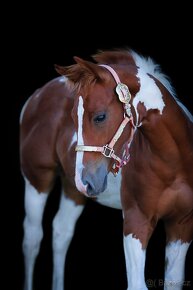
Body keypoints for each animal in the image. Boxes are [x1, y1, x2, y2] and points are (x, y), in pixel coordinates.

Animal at [56, 48, 193, 288]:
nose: (85, 181)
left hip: (72, 192)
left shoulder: (182, 225)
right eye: (73, 117)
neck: (172, 164)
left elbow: (173, 281)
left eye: (100, 116)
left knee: (61, 234)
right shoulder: (135, 221)